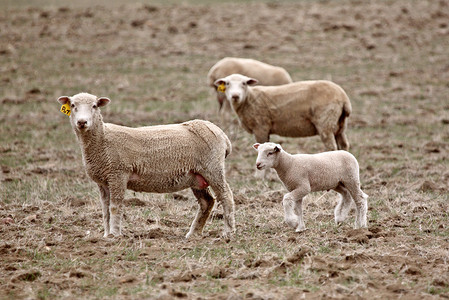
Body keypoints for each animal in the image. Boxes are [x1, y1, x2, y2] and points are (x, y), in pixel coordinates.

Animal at [57, 92, 236, 238]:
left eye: (94, 106)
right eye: (73, 106)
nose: (82, 122)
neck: (103, 139)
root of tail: (223, 135)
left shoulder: (118, 173)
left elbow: (115, 207)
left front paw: (114, 234)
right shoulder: (103, 181)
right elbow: (105, 209)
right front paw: (106, 235)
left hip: (212, 168)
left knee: (226, 196)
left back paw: (228, 232)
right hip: (196, 176)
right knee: (207, 202)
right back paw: (193, 233)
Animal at [215, 73, 352, 152]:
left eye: (244, 83)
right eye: (227, 84)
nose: (235, 96)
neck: (249, 98)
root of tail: (343, 97)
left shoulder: (261, 127)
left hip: (325, 123)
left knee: (331, 147)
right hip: (340, 124)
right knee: (344, 145)